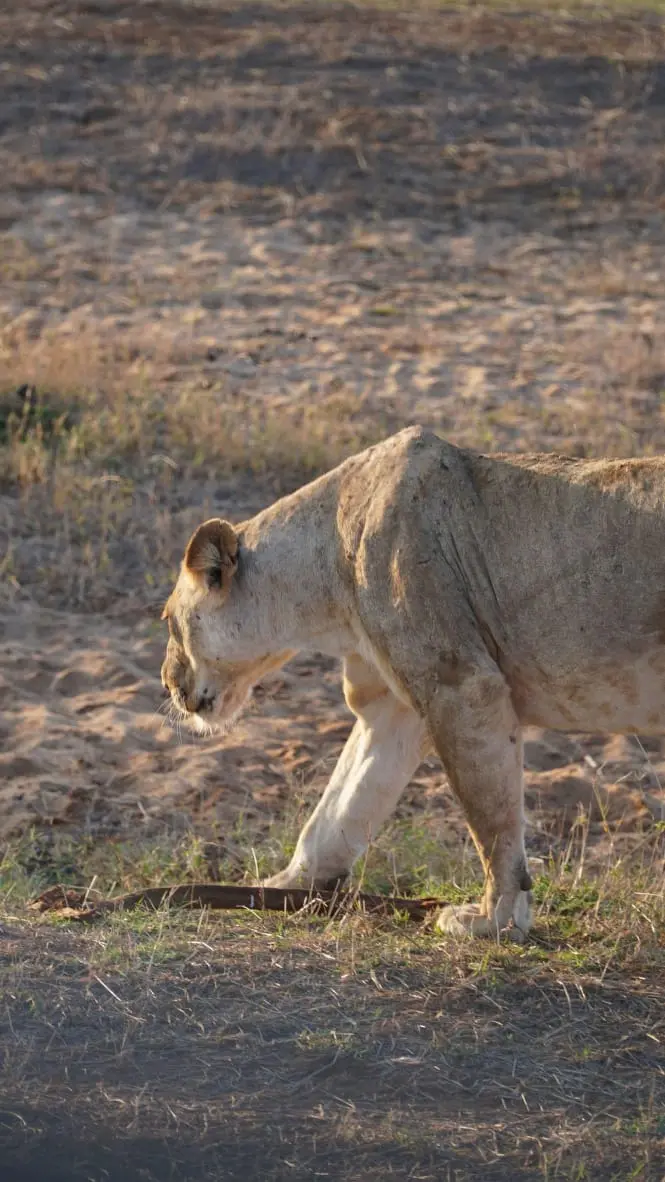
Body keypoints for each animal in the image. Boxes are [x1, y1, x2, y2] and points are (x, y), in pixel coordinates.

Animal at [161, 426, 665, 940]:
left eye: (167, 621)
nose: (166, 683)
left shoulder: (461, 684)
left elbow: (492, 820)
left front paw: (494, 920)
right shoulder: (393, 708)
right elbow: (341, 807)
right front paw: (281, 888)